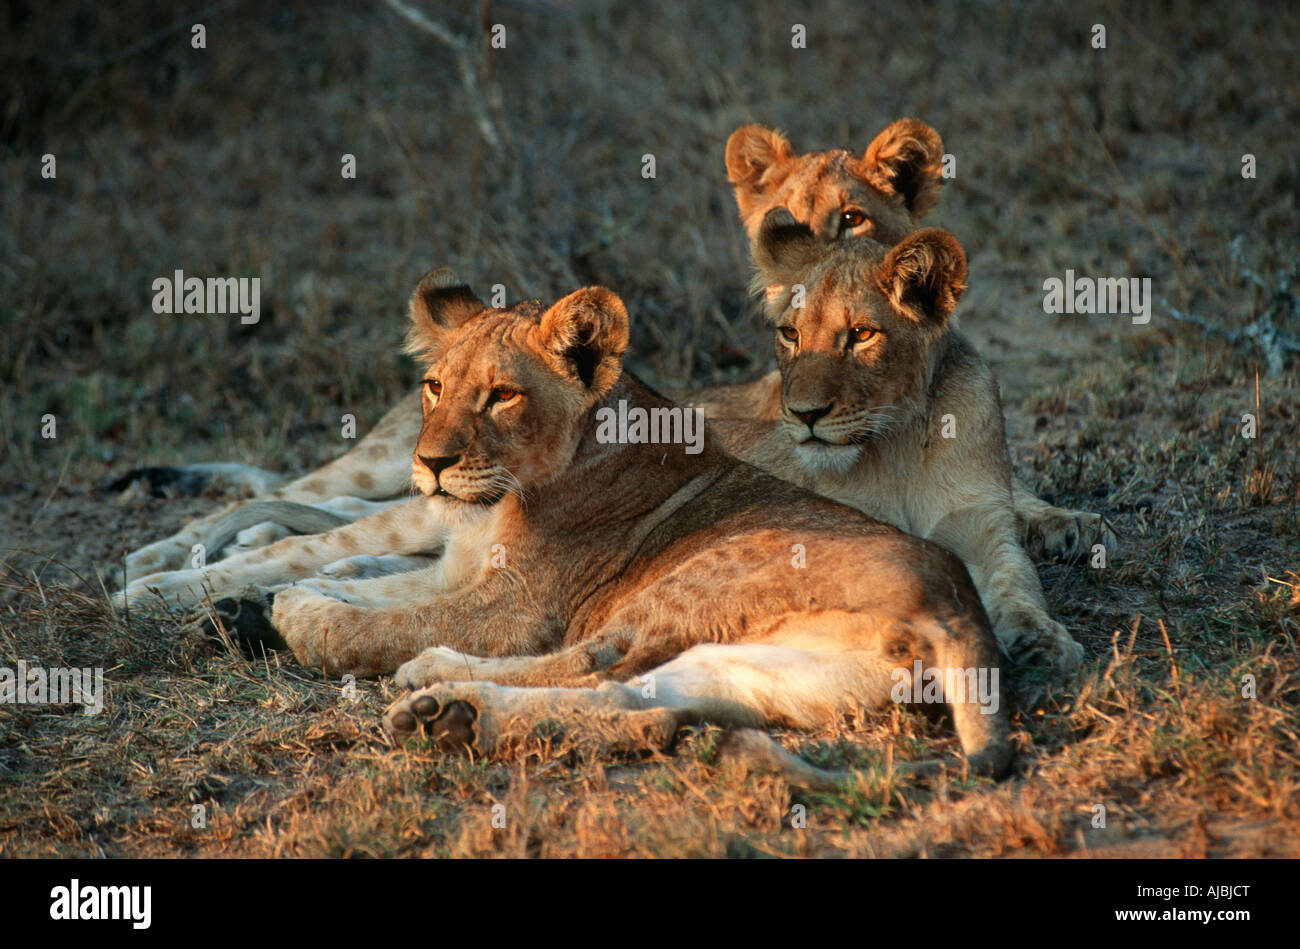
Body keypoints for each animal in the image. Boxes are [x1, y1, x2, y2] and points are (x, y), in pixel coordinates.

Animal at [118, 270, 1011, 786]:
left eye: (502, 394)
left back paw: (433, 683)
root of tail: (959, 606)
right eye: (435, 385)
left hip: (700, 580)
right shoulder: (456, 564)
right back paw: (450, 714)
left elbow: (378, 622)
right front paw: (269, 591)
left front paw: (295, 609)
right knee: (633, 699)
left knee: (593, 661)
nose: (429, 462)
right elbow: (365, 580)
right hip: (771, 666)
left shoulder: (518, 604)